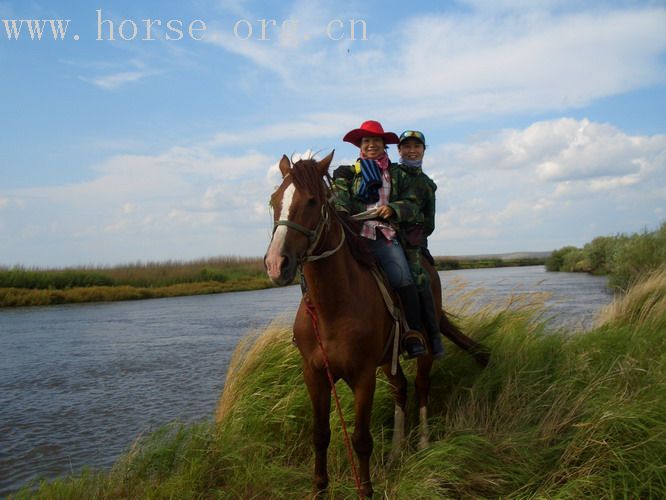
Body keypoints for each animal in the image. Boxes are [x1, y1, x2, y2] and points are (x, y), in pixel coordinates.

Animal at [264, 152, 488, 496]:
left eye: (313, 201)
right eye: (275, 200)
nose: (277, 264)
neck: (331, 308)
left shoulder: (363, 376)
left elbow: (361, 439)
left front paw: (366, 491)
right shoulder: (315, 374)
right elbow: (320, 435)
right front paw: (319, 489)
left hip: (422, 349)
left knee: (421, 386)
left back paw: (423, 443)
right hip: (388, 360)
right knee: (401, 389)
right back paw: (396, 451)